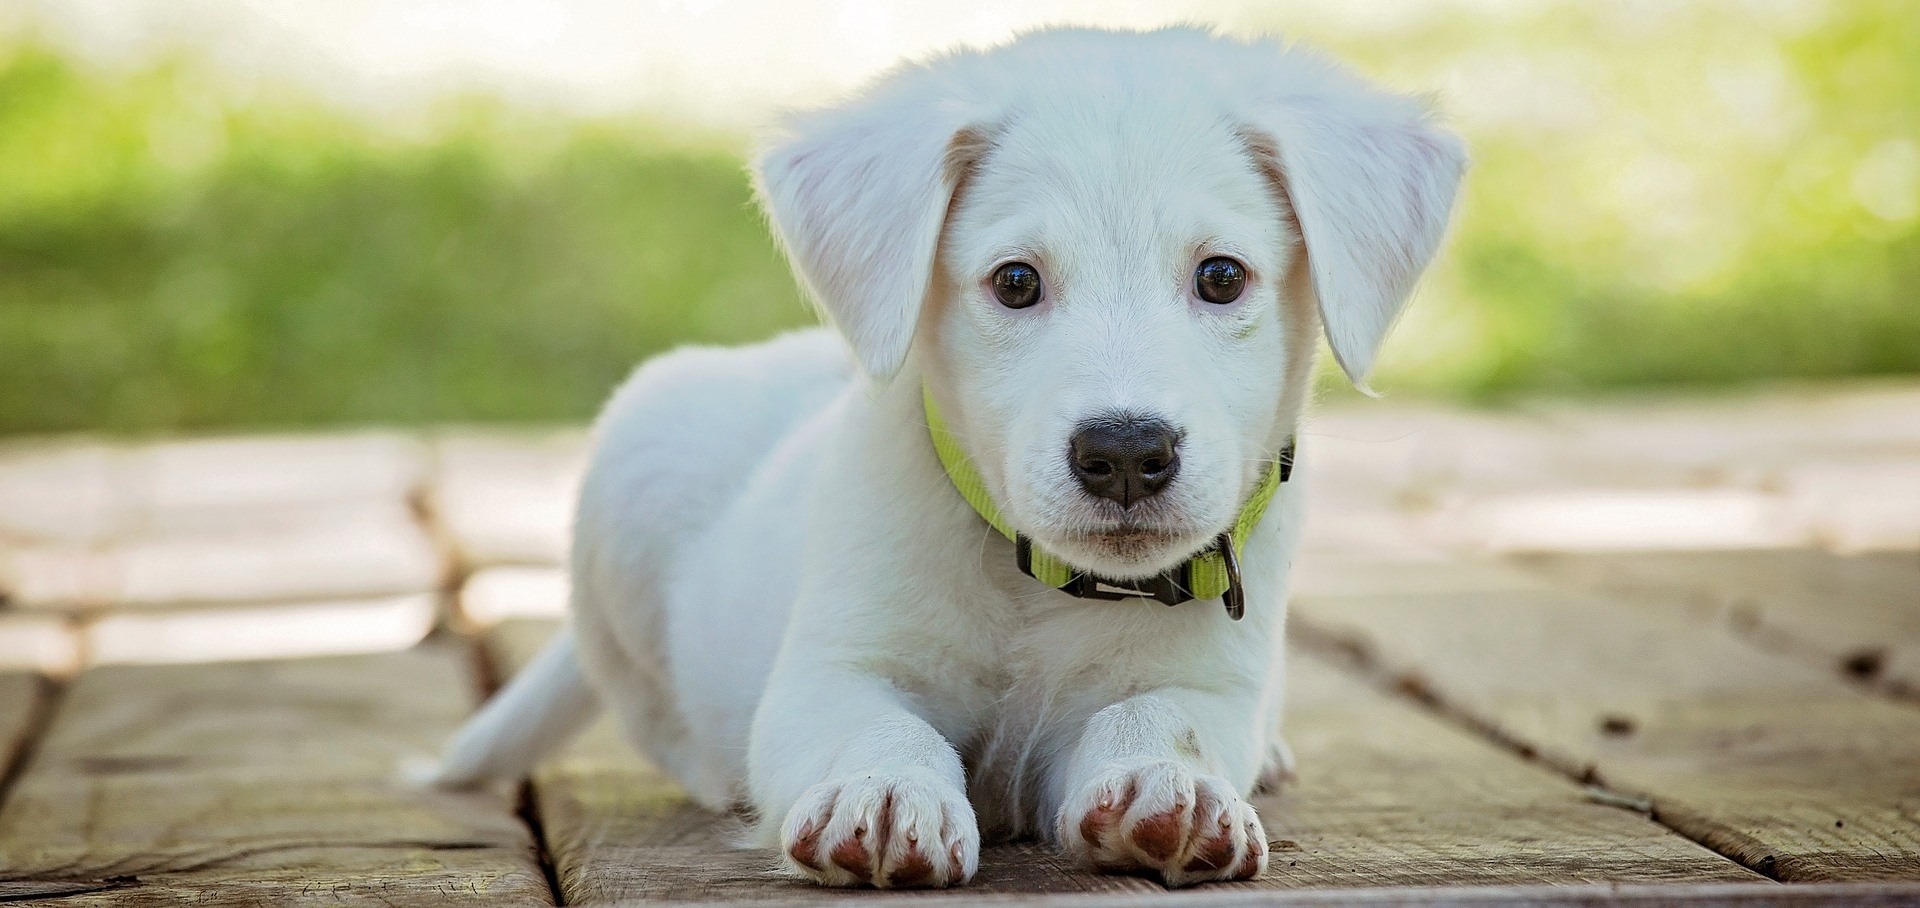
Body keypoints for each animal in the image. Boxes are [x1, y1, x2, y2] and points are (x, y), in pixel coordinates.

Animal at [432, 24, 1451, 886]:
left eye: (1222, 276)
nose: (1126, 452)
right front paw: (886, 793)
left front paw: (1172, 787)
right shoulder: (832, 671)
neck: (1040, 586)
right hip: (631, 479)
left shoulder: (1209, 683)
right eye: (1016, 282)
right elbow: (878, 727)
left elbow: (1159, 716)